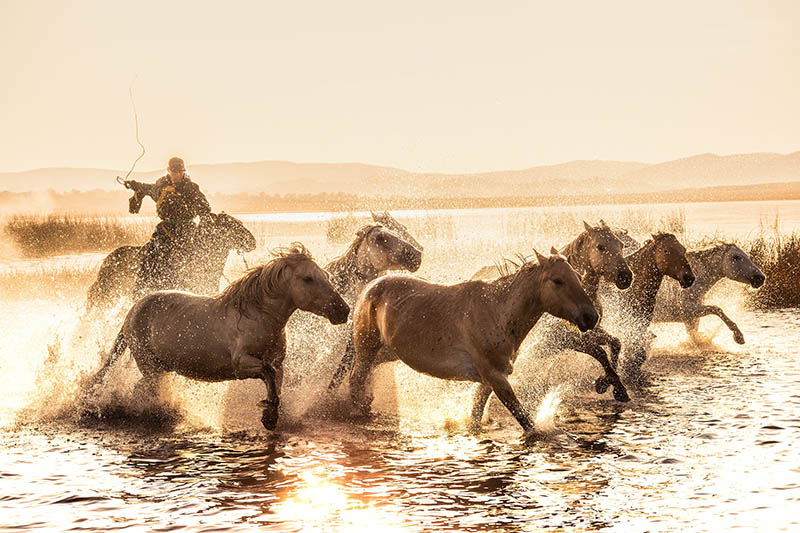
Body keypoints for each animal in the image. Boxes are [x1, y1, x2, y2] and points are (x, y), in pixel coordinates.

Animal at [86, 244, 348, 428]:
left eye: (325, 276)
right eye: (308, 278)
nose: (343, 311)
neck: (259, 316)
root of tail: (132, 311)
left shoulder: (278, 363)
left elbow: (275, 385)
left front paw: (270, 416)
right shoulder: (242, 364)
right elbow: (268, 376)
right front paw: (268, 417)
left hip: (161, 367)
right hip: (150, 366)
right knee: (143, 389)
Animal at [340, 247, 596, 434]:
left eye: (577, 276)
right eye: (557, 280)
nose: (591, 317)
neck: (498, 310)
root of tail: (369, 288)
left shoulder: (492, 377)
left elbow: (476, 413)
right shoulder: (495, 376)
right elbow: (525, 420)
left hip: (385, 352)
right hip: (367, 348)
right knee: (356, 377)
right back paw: (359, 412)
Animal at [468, 221, 632, 404]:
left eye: (621, 245)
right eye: (600, 246)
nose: (626, 277)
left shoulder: (589, 331)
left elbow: (616, 343)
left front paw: (607, 384)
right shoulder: (568, 340)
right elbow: (601, 353)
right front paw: (614, 388)